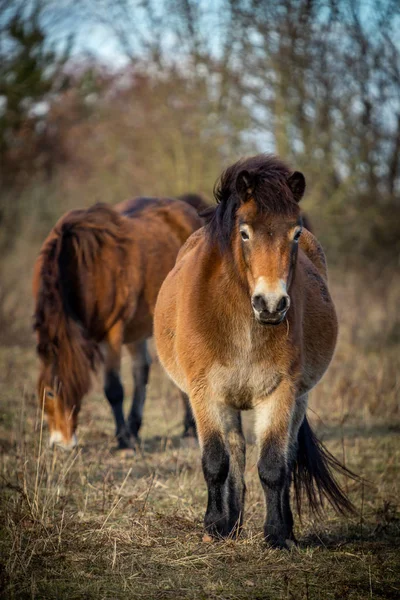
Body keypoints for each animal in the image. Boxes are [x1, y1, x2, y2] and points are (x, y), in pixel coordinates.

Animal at [32, 197, 203, 450]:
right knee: (141, 369)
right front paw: (128, 434)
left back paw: (189, 430)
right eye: (48, 393)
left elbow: (113, 389)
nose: (62, 443)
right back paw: (135, 426)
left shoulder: (112, 332)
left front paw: (123, 440)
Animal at [154, 155, 356, 548]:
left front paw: (278, 534)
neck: (241, 324)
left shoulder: (280, 393)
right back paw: (230, 522)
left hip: (299, 399)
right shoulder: (204, 394)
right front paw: (215, 526)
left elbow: (275, 465)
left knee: (284, 455)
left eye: (295, 234)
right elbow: (216, 461)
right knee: (234, 450)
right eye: (245, 232)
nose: (271, 304)